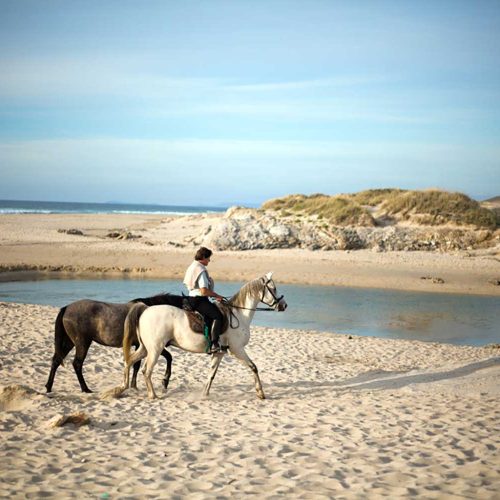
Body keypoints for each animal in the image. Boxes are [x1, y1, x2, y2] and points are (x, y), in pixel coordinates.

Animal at [45, 292, 184, 394]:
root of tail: (66, 308)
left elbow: (137, 364)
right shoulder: (149, 346)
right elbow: (165, 358)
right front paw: (163, 381)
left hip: (70, 342)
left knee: (56, 360)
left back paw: (48, 387)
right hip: (82, 343)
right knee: (77, 364)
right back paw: (85, 389)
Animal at [122, 272, 286, 400]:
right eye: (274, 288)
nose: (284, 305)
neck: (239, 314)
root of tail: (145, 310)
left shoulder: (219, 353)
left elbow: (211, 374)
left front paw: (204, 395)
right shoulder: (237, 350)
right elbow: (253, 367)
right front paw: (260, 393)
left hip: (145, 348)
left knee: (129, 361)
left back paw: (122, 387)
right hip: (155, 349)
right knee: (146, 370)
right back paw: (152, 395)